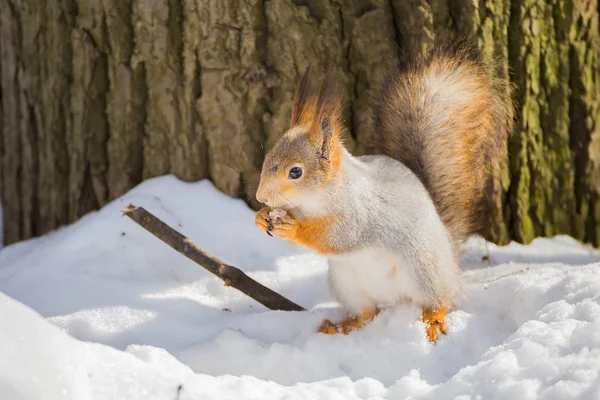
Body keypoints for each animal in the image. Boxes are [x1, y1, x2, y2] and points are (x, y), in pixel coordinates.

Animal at [255, 46, 512, 340]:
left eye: (295, 172)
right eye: (268, 158)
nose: (261, 197)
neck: (314, 201)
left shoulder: (357, 215)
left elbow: (335, 238)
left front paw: (293, 229)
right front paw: (261, 217)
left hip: (424, 272)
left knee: (439, 300)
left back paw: (433, 321)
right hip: (348, 285)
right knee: (367, 313)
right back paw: (343, 326)